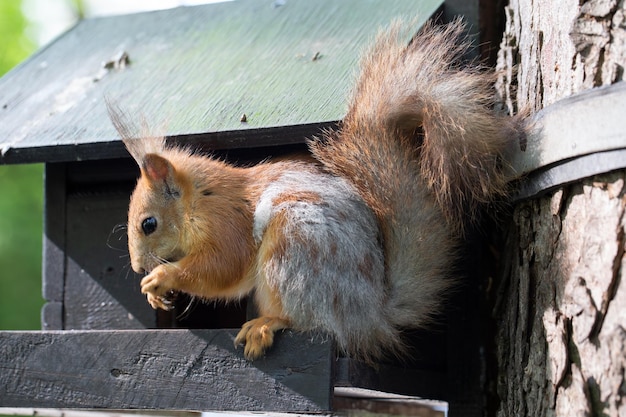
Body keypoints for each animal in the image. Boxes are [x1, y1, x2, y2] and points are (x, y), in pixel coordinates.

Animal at [107, 19, 516, 360]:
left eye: (148, 224)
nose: (137, 266)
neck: (199, 200)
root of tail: (369, 314)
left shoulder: (226, 223)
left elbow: (222, 267)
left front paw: (162, 278)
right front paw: (155, 293)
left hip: (293, 249)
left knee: (307, 321)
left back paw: (266, 324)